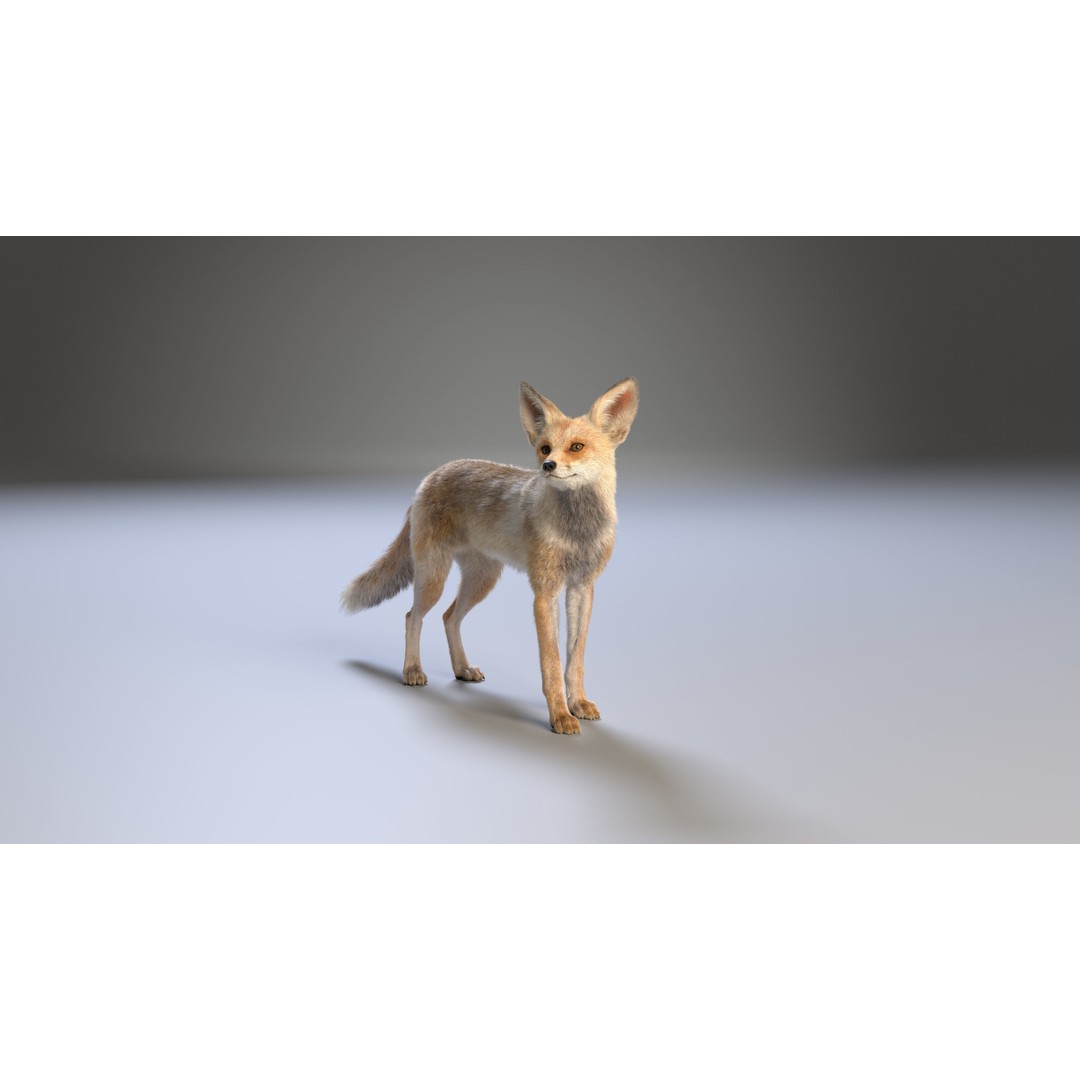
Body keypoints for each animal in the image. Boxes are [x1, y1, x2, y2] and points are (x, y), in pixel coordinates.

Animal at [341, 377, 639, 735]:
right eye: (545, 448)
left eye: (576, 447)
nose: (547, 466)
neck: (578, 531)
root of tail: (429, 477)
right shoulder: (545, 592)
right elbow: (552, 663)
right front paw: (559, 715)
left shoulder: (583, 588)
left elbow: (574, 660)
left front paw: (577, 703)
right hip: (433, 578)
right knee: (413, 616)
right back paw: (412, 670)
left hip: (481, 581)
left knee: (449, 617)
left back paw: (461, 669)